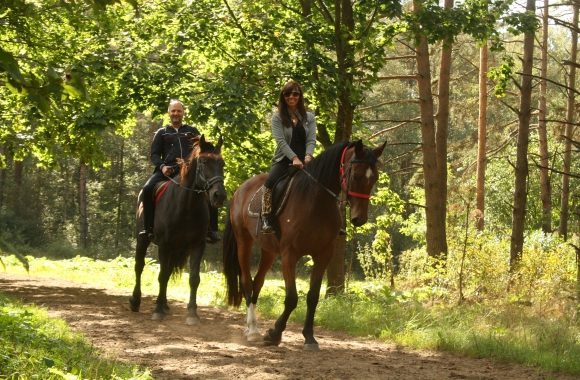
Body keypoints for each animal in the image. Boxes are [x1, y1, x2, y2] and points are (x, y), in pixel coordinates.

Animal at [129, 135, 227, 326]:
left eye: (223, 163)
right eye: (204, 162)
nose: (219, 196)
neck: (187, 205)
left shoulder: (198, 245)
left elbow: (194, 278)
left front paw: (192, 314)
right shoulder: (163, 245)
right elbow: (161, 275)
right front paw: (157, 311)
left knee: (166, 272)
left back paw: (165, 305)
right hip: (143, 239)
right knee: (139, 267)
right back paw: (136, 301)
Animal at [222, 140, 386, 350]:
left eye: (375, 178)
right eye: (356, 176)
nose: (360, 219)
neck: (316, 204)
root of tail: (240, 190)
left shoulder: (324, 255)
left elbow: (312, 297)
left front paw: (309, 337)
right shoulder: (289, 254)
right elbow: (292, 298)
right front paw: (274, 334)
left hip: (268, 250)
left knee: (258, 282)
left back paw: (249, 327)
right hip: (244, 241)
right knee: (247, 282)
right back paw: (253, 330)